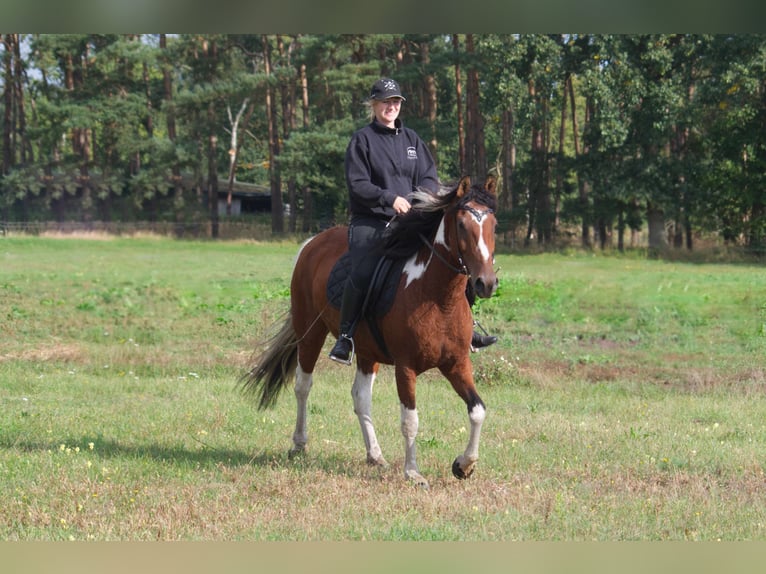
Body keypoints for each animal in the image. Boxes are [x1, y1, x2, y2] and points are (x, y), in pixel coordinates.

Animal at [243, 177, 500, 490]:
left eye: (494, 225)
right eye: (462, 224)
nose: (486, 283)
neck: (437, 298)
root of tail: (312, 243)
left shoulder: (456, 363)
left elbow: (478, 410)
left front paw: (464, 465)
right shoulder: (405, 367)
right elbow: (410, 420)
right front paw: (413, 473)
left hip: (366, 350)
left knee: (360, 396)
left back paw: (374, 454)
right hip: (310, 331)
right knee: (303, 386)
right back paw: (299, 444)